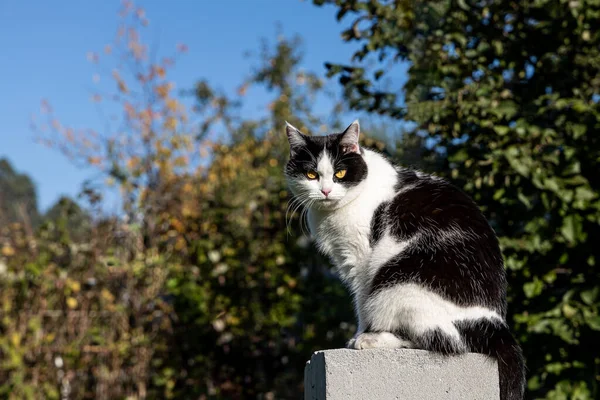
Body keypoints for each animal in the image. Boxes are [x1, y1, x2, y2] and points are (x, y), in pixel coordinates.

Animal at [286, 119, 524, 400]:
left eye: (340, 174)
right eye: (311, 175)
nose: (325, 191)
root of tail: (496, 325)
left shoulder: (362, 261)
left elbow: (361, 303)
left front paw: (360, 334)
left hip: (399, 284)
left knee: (444, 342)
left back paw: (374, 339)